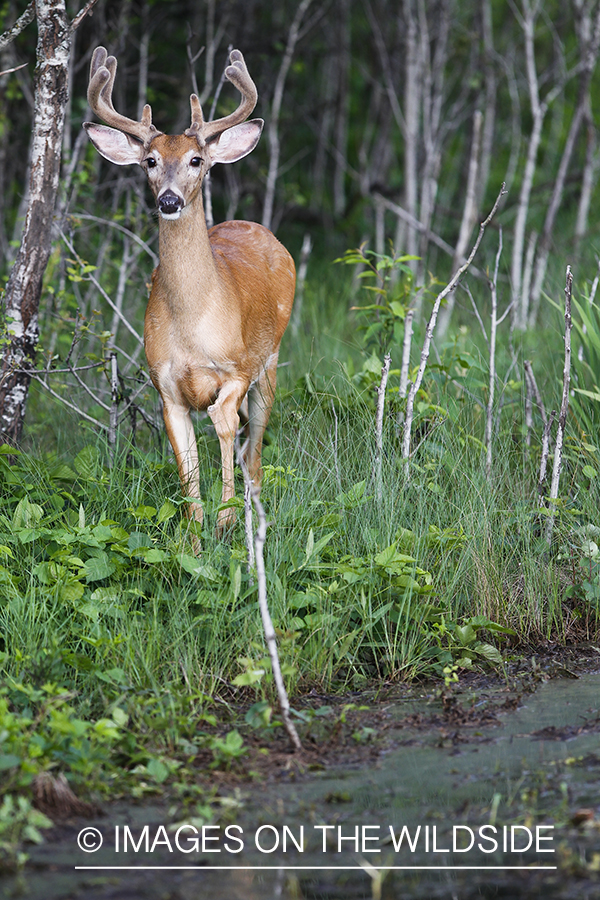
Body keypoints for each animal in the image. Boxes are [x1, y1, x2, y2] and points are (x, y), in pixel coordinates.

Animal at [85, 49, 296, 552]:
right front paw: (197, 548)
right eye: (150, 160)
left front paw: (227, 520)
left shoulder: (237, 367)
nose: (168, 200)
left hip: (271, 361)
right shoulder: (165, 387)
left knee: (254, 455)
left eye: (197, 159)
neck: (192, 319)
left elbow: (224, 424)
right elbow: (189, 485)